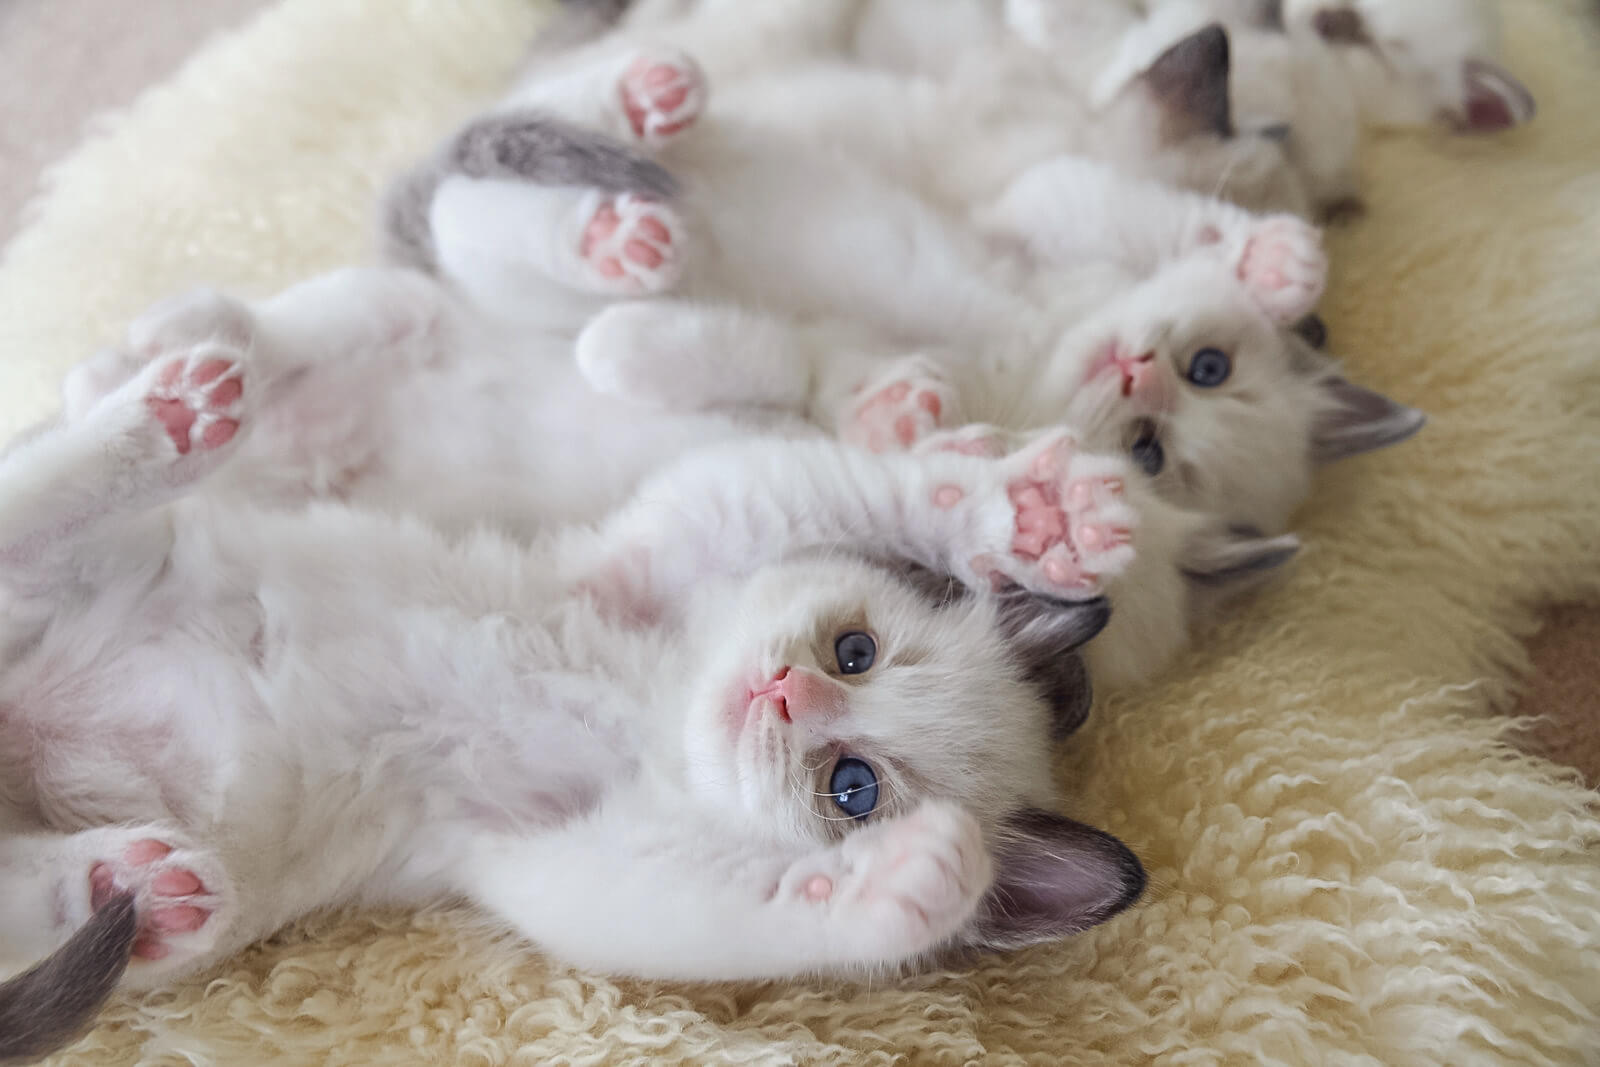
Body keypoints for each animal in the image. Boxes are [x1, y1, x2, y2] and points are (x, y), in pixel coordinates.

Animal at [0, 301, 1154, 1060]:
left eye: (853, 787)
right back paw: (173, 416)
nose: (781, 691)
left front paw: (897, 884)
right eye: (853, 651)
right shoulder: (679, 534)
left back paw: (137, 884)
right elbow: (851, 485)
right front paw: (1035, 512)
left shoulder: (554, 851)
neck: (653, 709)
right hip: (78, 561)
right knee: (32, 500)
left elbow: (712, 901)